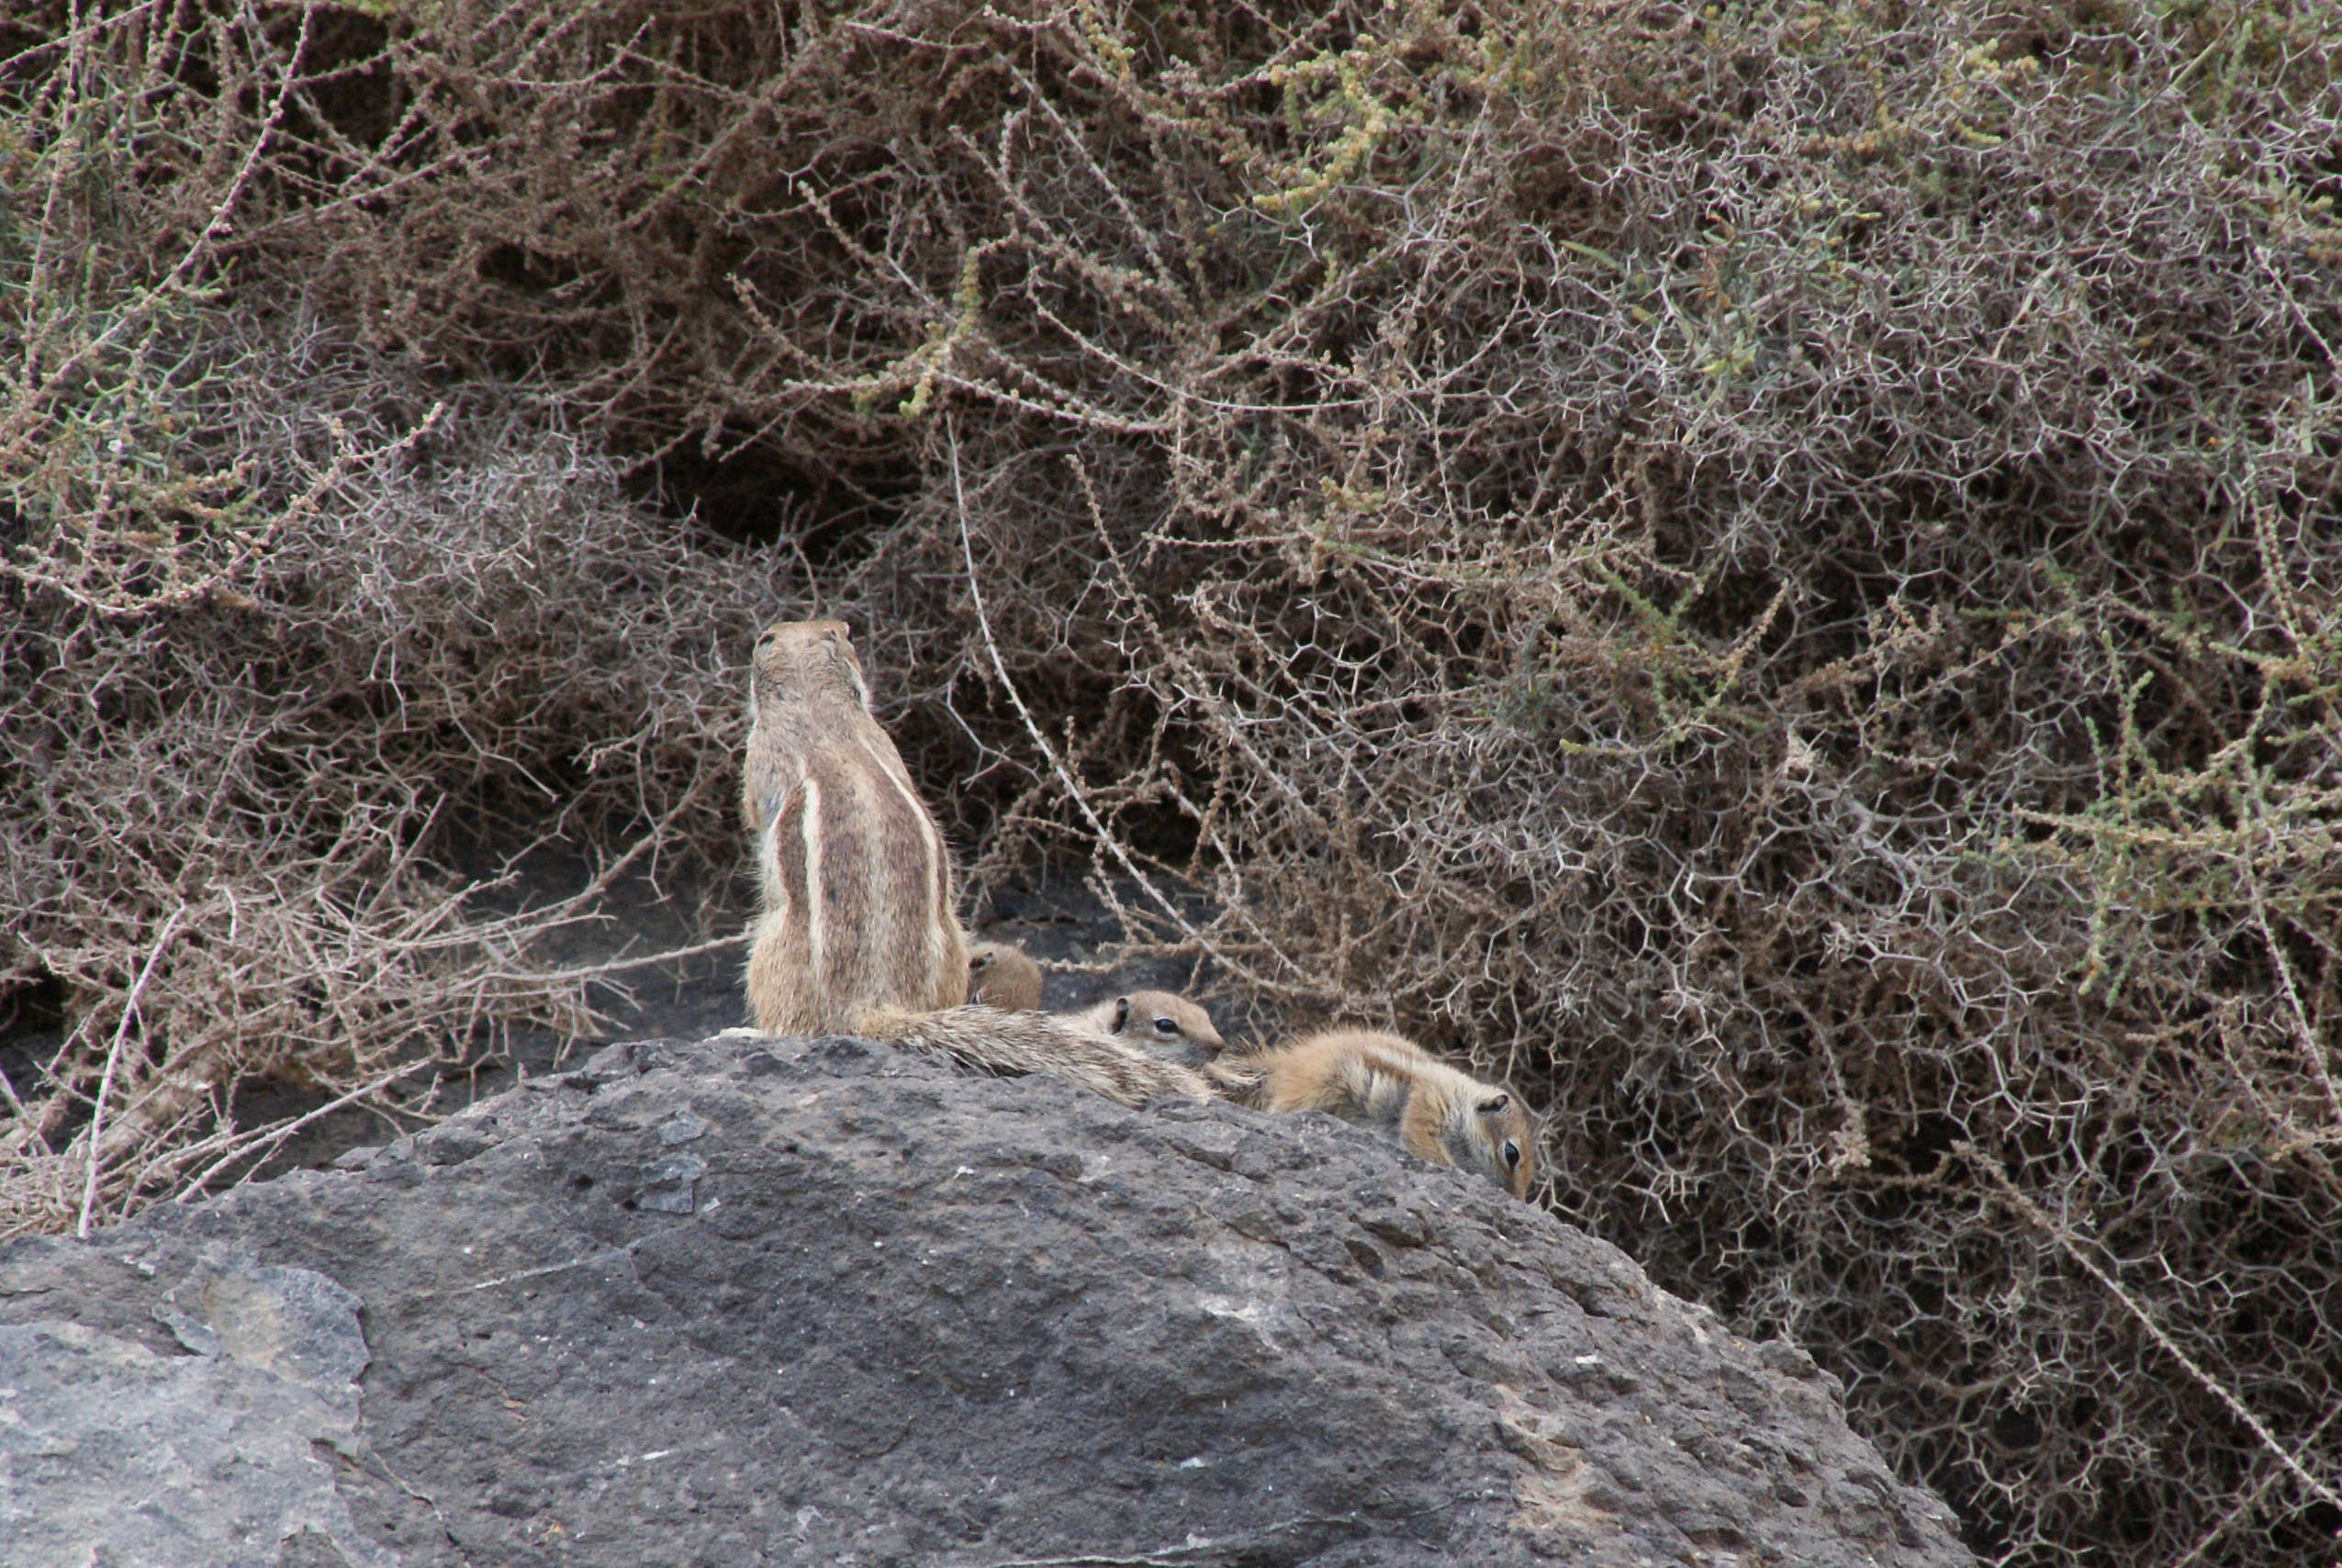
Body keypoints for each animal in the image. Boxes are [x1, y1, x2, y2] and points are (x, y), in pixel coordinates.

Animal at [740, 619, 967, 1035]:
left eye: (847, 630)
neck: (812, 697)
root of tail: (875, 1003)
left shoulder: (762, 752)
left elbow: (754, 807)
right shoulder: (882, 737)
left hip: (770, 948)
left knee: (791, 1025)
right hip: (956, 944)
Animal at [1222, 1029, 1536, 1200]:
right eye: (1512, 1154)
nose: (1518, 1199)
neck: (1461, 1098)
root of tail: (1282, 1064)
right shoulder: (1426, 1105)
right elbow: (1423, 1142)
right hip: (1320, 1085)